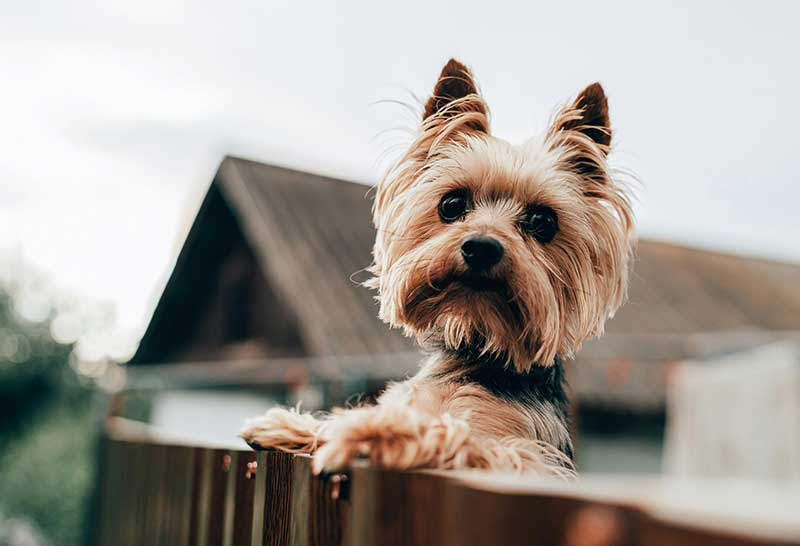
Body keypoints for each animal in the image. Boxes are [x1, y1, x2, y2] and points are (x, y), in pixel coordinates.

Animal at [241, 59, 636, 476]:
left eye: (543, 222)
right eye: (451, 204)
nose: (481, 247)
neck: (477, 350)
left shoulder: (529, 459)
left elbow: (453, 432)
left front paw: (368, 430)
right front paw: (290, 425)